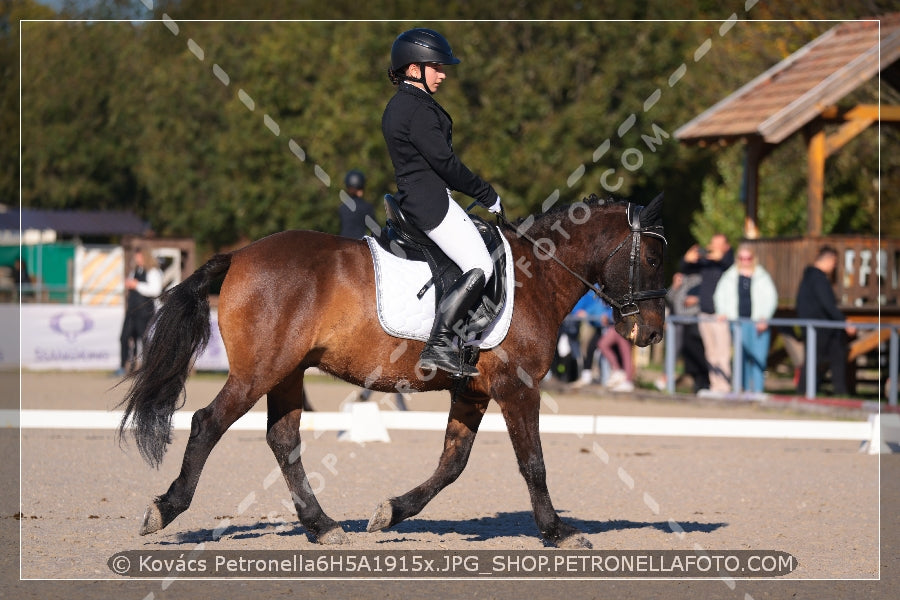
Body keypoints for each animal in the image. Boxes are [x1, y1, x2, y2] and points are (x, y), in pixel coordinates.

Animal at [118, 192, 668, 548]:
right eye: (654, 257)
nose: (652, 333)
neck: (539, 276)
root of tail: (239, 256)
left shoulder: (472, 392)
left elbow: (452, 464)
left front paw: (390, 514)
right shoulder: (518, 388)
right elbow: (533, 462)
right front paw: (558, 531)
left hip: (287, 373)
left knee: (283, 440)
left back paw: (323, 526)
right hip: (260, 371)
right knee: (207, 423)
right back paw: (164, 510)